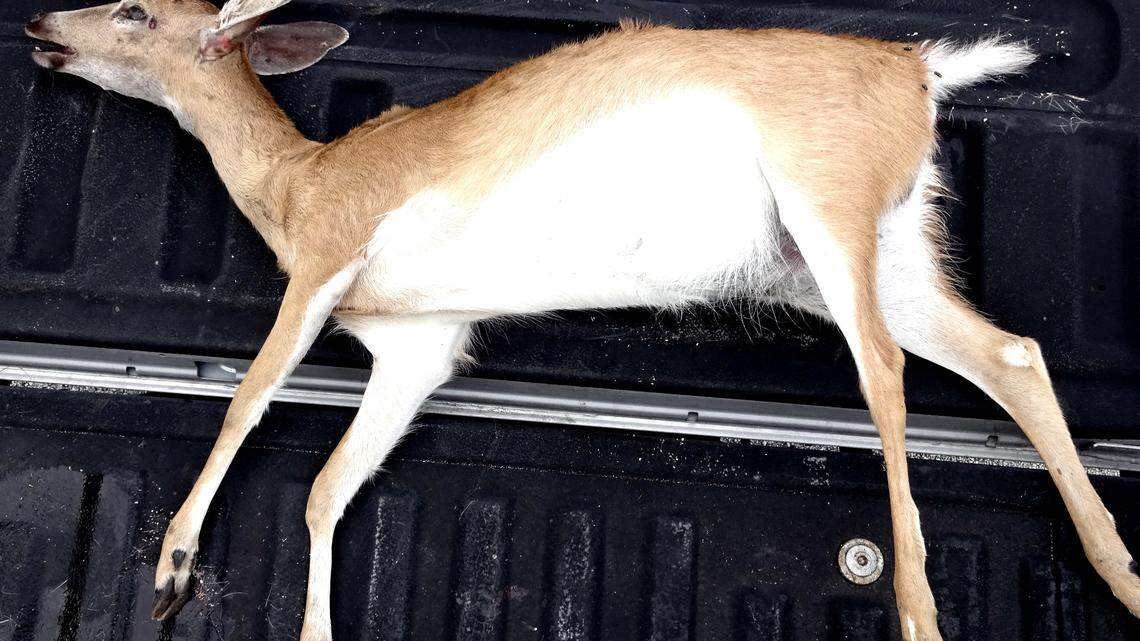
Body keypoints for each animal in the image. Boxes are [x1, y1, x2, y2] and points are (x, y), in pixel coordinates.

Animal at [23, 1, 1140, 639]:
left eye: (134, 5)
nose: (40, 32)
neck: (298, 179)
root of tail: (921, 65)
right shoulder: (417, 351)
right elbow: (328, 489)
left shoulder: (325, 270)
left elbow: (245, 402)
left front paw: (171, 568)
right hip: (874, 263)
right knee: (1013, 353)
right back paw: (1122, 574)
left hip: (831, 220)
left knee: (889, 384)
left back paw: (921, 614)